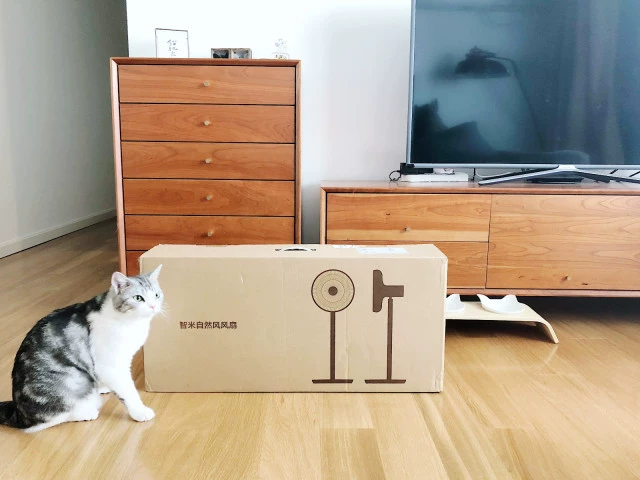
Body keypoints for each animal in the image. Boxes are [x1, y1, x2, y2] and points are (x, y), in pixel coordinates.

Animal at [0, 265, 163, 433]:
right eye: (138, 298)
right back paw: (86, 412)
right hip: (71, 380)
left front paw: (103, 385)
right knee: (45, 422)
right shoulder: (111, 365)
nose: (153, 306)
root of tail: (18, 412)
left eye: (157, 295)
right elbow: (128, 391)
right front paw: (140, 412)